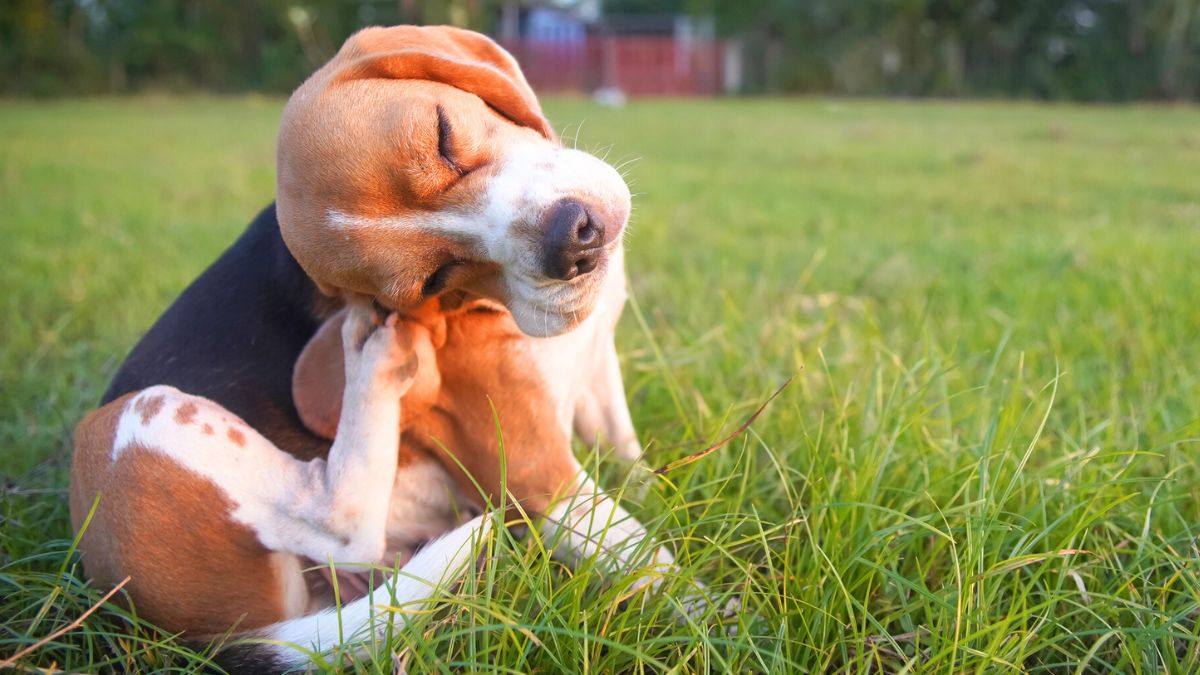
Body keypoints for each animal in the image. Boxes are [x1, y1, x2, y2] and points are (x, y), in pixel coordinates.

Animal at [70, 24, 705, 667]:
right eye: (433, 279)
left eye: (443, 136)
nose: (573, 242)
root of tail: (206, 638)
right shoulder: (540, 479)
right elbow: (660, 569)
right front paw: (721, 622)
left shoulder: (599, 375)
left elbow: (630, 459)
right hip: (132, 422)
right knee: (339, 526)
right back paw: (372, 361)